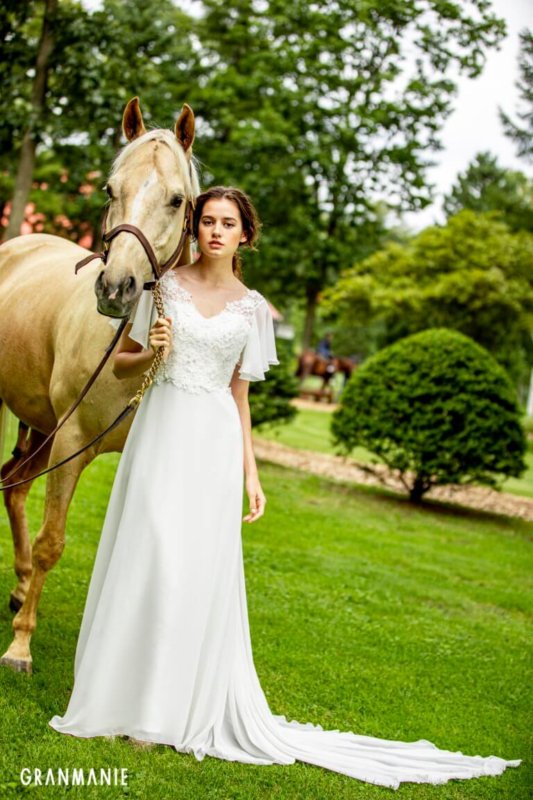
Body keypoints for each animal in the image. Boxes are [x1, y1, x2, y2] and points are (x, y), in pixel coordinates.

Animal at [0, 97, 199, 673]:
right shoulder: (71, 440)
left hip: (41, 431)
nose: (115, 288)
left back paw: (20, 586)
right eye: (111, 189)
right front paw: (20, 646)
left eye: (176, 199)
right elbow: (52, 542)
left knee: (13, 486)